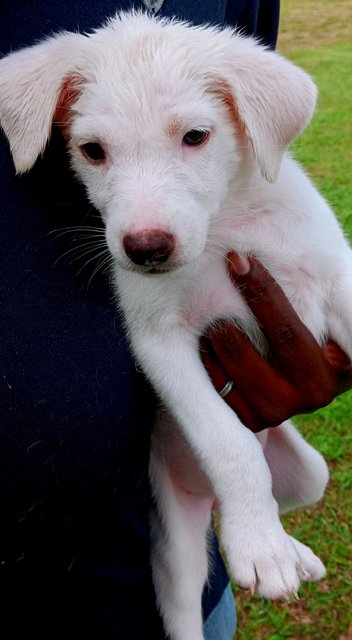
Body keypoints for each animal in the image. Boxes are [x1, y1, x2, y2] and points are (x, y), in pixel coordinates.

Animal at [1, 11, 350, 640]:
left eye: (195, 137)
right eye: (92, 150)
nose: (145, 248)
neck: (225, 225)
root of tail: (208, 502)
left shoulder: (337, 279)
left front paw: (270, 543)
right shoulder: (159, 341)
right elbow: (229, 441)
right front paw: (260, 548)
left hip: (310, 474)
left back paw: (291, 547)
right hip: (173, 556)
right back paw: (263, 539)